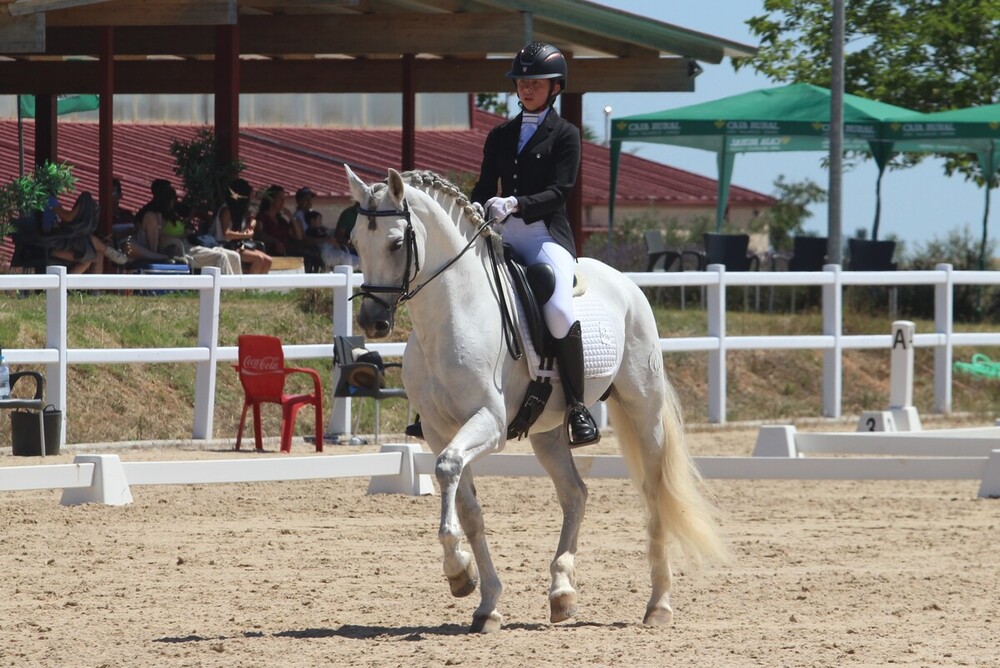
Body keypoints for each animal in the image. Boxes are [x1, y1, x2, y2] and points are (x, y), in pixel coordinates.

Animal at [344, 166, 728, 632]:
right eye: (354, 243)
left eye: (397, 242)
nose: (373, 322)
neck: (453, 314)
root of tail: (625, 283)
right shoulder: (438, 429)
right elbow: (467, 507)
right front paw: (482, 598)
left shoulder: (489, 424)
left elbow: (449, 468)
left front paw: (458, 571)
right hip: (547, 431)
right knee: (575, 494)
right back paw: (561, 592)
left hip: (644, 408)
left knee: (654, 494)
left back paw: (658, 605)